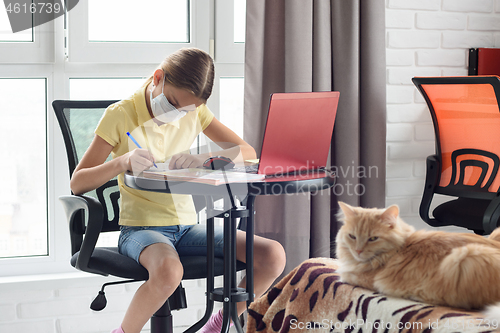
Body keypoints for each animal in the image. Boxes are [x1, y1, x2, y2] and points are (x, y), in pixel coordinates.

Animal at [334, 200, 500, 312]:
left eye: (373, 238)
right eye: (352, 236)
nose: (358, 250)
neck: (398, 249)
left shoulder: (361, 277)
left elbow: (343, 274)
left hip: (465, 257)